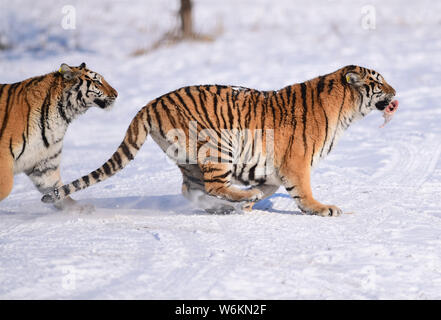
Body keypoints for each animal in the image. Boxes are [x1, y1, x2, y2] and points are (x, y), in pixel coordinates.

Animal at [0, 62, 117, 210]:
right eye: (97, 81)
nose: (116, 94)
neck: (61, 116)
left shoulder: (44, 163)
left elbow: (58, 191)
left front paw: (81, 209)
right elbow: (6, 188)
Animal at [42, 63, 396, 216]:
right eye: (379, 82)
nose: (395, 93)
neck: (345, 110)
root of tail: (150, 103)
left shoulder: (273, 168)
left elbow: (269, 186)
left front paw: (254, 198)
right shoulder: (295, 162)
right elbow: (303, 191)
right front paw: (321, 208)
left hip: (190, 159)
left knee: (193, 190)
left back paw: (229, 206)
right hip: (217, 144)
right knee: (213, 186)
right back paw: (239, 199)